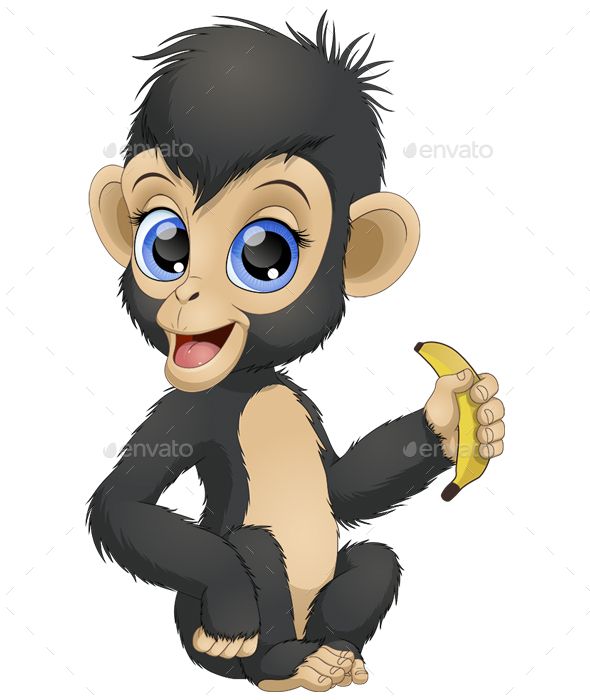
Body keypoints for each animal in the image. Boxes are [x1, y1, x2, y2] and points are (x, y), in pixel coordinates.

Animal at [87, 15, 505, 692]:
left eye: (265, 255)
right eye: (165, 243)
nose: (185, 292)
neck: (253, 382)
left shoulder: (301, 400)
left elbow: (342, 490)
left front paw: (454, 418)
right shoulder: (187, 408)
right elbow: (123, 503)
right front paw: (232, 606)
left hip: (337, 597)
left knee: (376, 559)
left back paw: (335, 656)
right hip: (206, 622)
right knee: (254, 554)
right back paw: (280, 661)